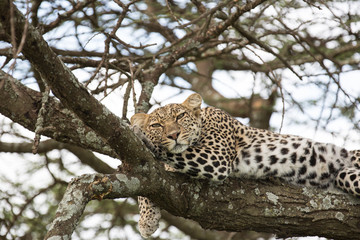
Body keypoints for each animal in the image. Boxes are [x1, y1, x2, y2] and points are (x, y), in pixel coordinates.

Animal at [131, 93, 360, 237]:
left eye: (180, 116)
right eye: (157, 125)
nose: (173, 135)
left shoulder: (216, 157)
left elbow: (169, 153)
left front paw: (140, 134)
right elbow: (148, 185)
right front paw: (147, 220)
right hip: (344, 176)